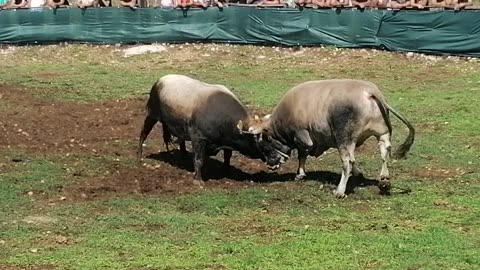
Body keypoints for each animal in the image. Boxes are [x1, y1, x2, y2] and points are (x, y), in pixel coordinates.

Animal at [240, 79, 416, 198]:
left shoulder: (303, 136)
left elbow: (302, 155)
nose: (270, 166)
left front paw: (300, 174)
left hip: (344, 137)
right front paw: (359, 173)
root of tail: (369, 91)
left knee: (347, 161)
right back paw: (384, 181)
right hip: (382, 133)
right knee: (384, 154)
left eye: (264, 146)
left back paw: (340, 191)